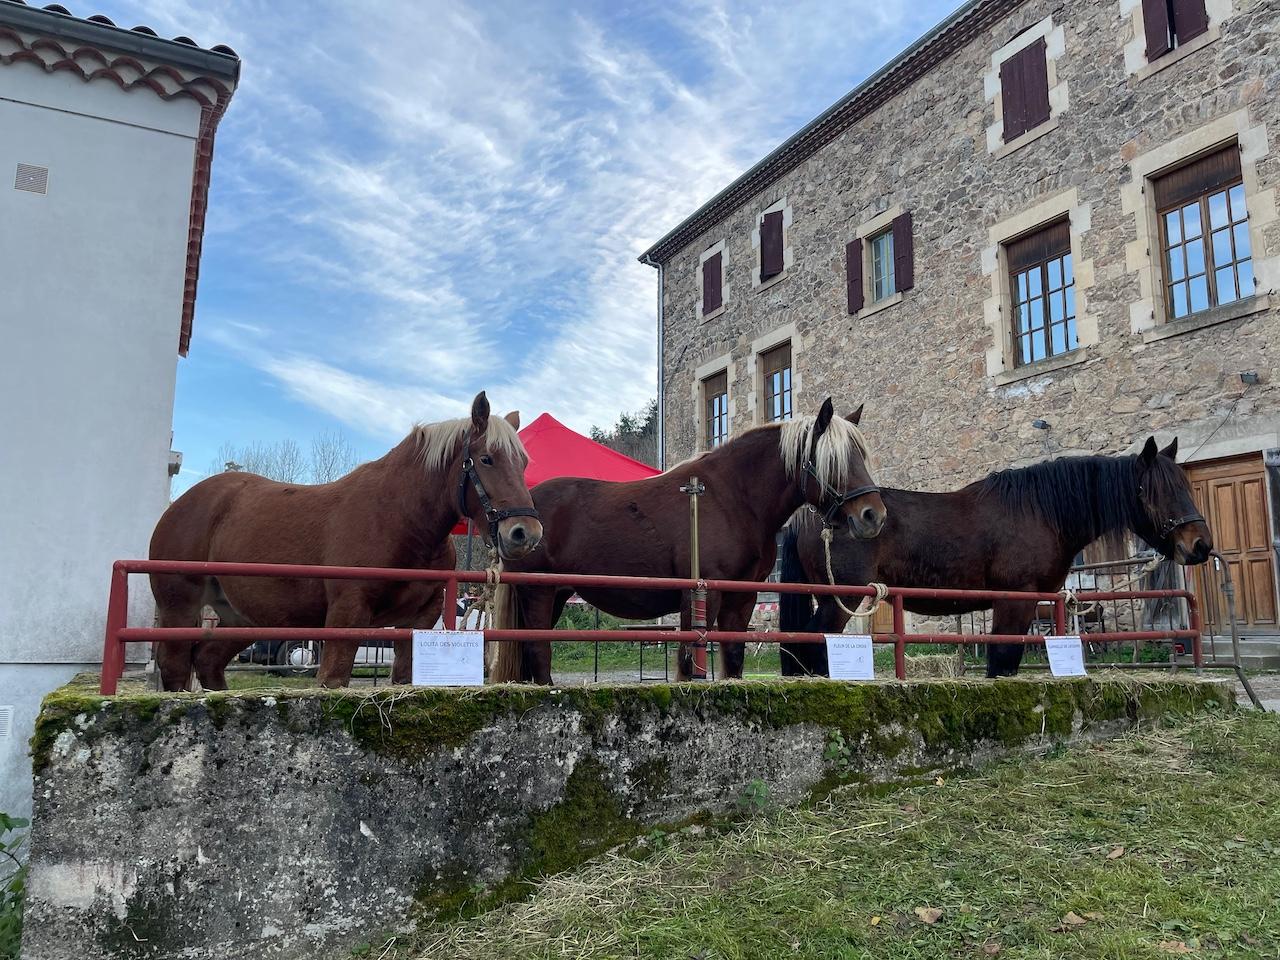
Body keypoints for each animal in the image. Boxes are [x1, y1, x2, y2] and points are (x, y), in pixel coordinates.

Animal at [148, 391, 540, 691]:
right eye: (486, 459)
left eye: (523, 463)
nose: (525, 533)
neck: (399, 521)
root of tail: (185, 503)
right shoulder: (346, 616)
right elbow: (333, 679)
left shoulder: (418, 622)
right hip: (179, 607)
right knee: (176, 667)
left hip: (243, 618)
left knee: (208, 662)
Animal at [494, 399, 885, 686]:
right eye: (833, 460)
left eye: (861, 456)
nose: (873, 515)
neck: (732, 498)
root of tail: (521, 513)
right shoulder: (701, 596)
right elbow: (687, 666)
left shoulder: (742, 598)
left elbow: (733, 657)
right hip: (538, 591)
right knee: (538, 652)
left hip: (556, 594)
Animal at [778, 440, 1208, 680]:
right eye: (1156, 491)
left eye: (1185, 486)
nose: (1201, 545)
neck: (1040, 511)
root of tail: (811, 515)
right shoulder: (1013, 600)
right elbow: (1001, 661)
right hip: (842, 599)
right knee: (809, 644)